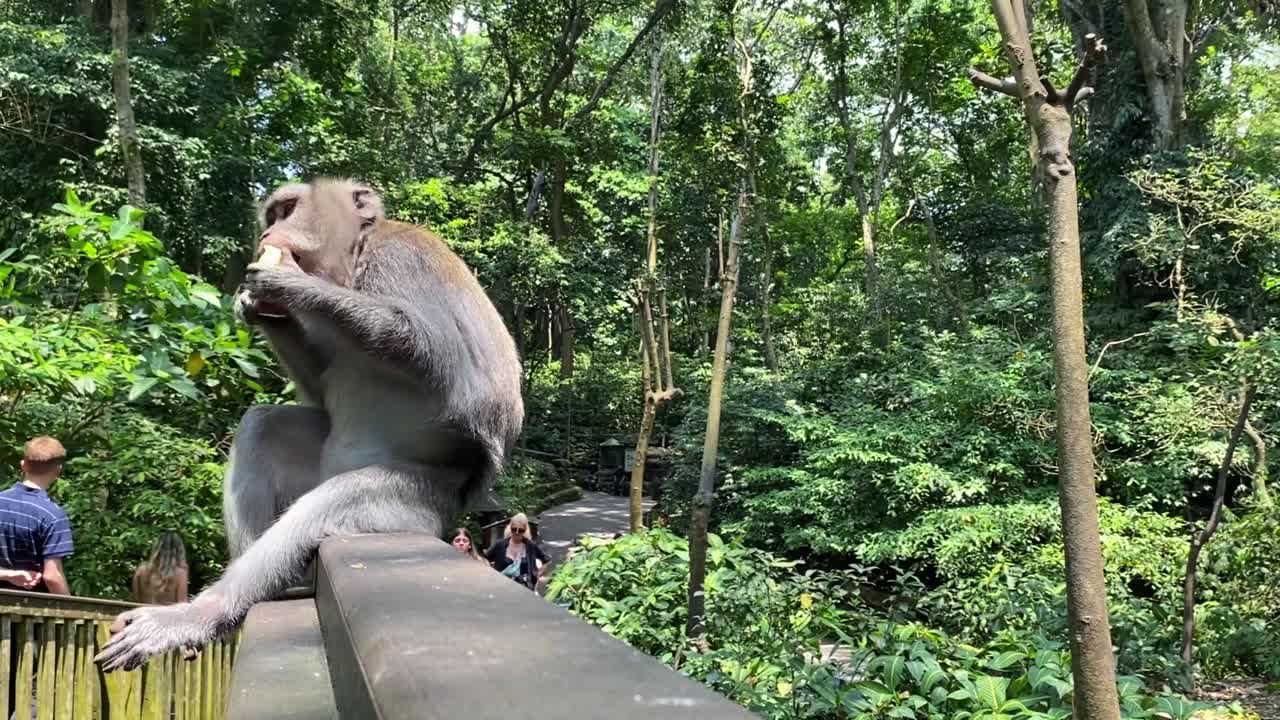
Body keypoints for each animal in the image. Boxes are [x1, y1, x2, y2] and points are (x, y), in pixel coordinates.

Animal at [94, 178, 524, 671]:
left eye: (287, 210)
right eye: (272, 215)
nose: (265, 236)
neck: (355, 260)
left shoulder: (400, 258)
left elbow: (431, 350)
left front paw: (291, 285)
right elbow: (319, 386)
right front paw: (258, 307)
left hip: (419, 501)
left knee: (328, 505)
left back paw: (206, 612)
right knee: (263, 426)